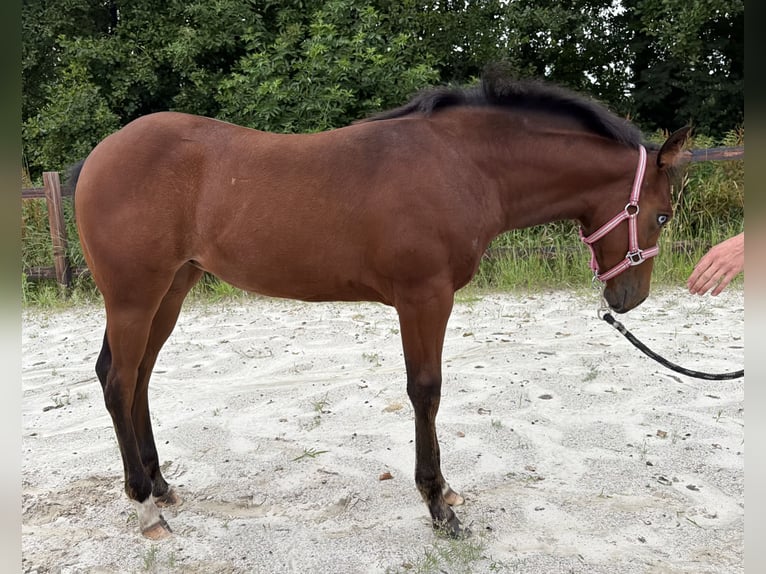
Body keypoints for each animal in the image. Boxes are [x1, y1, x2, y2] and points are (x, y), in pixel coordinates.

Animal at [70, 67, 690, 540]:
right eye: (661, 215)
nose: (629, 298)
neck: (462, 163)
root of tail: (97, 158)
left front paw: (445, 494)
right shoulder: (424, 298)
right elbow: (426, 390)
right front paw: (438, 504)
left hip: (171, 290)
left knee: (138, 378)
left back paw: (161, 487)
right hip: (134, 296)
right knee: (118, 382)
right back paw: (145, 506)